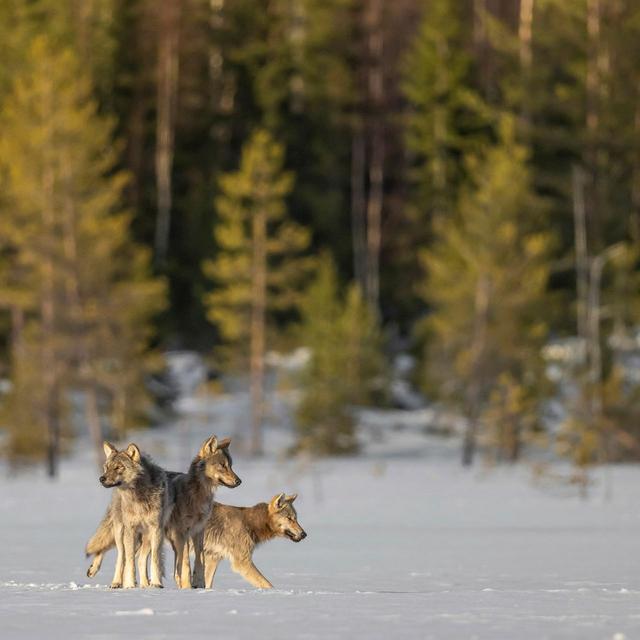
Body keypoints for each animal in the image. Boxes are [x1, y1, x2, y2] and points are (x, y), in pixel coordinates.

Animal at [87, 442, 175, 588]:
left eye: (118, 467)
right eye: (106, 467)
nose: (101, 478)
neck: (138, 497)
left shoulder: (156, 529)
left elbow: (155, 560)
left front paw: (156, 584)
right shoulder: (130, 529)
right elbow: (129, 562)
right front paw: (129, 585)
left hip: (145, 538)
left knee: (140, 560)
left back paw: (144, 584)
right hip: (120, 532)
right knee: (121, 557)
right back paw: (115, 581)